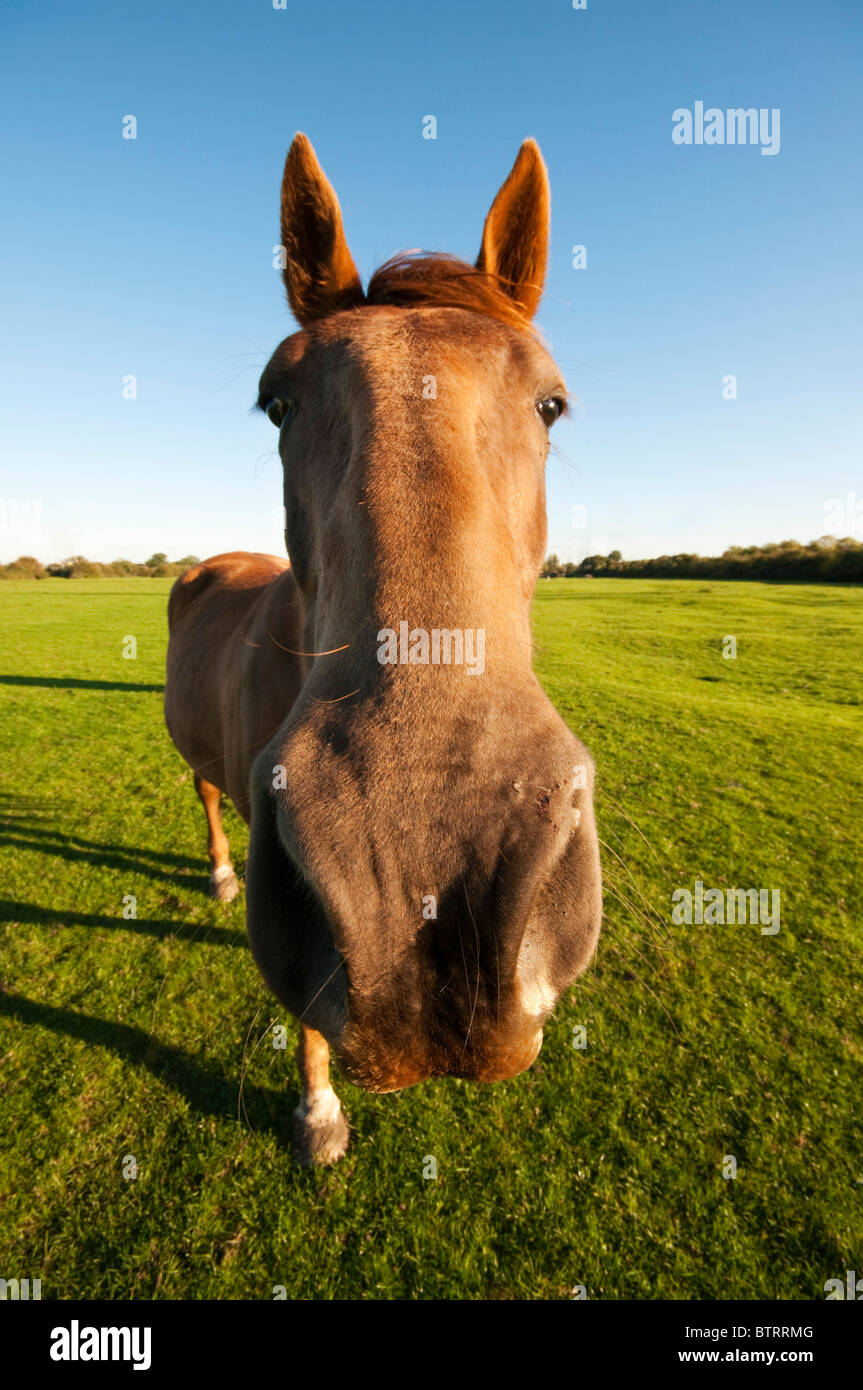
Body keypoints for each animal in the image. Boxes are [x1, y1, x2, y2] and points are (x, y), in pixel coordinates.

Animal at [164, 138, 603, 1162]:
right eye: (275, 402)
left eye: (551, 403)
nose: (420, 879)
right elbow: (313, 1020)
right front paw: (317, 1112)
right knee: (205, 796)